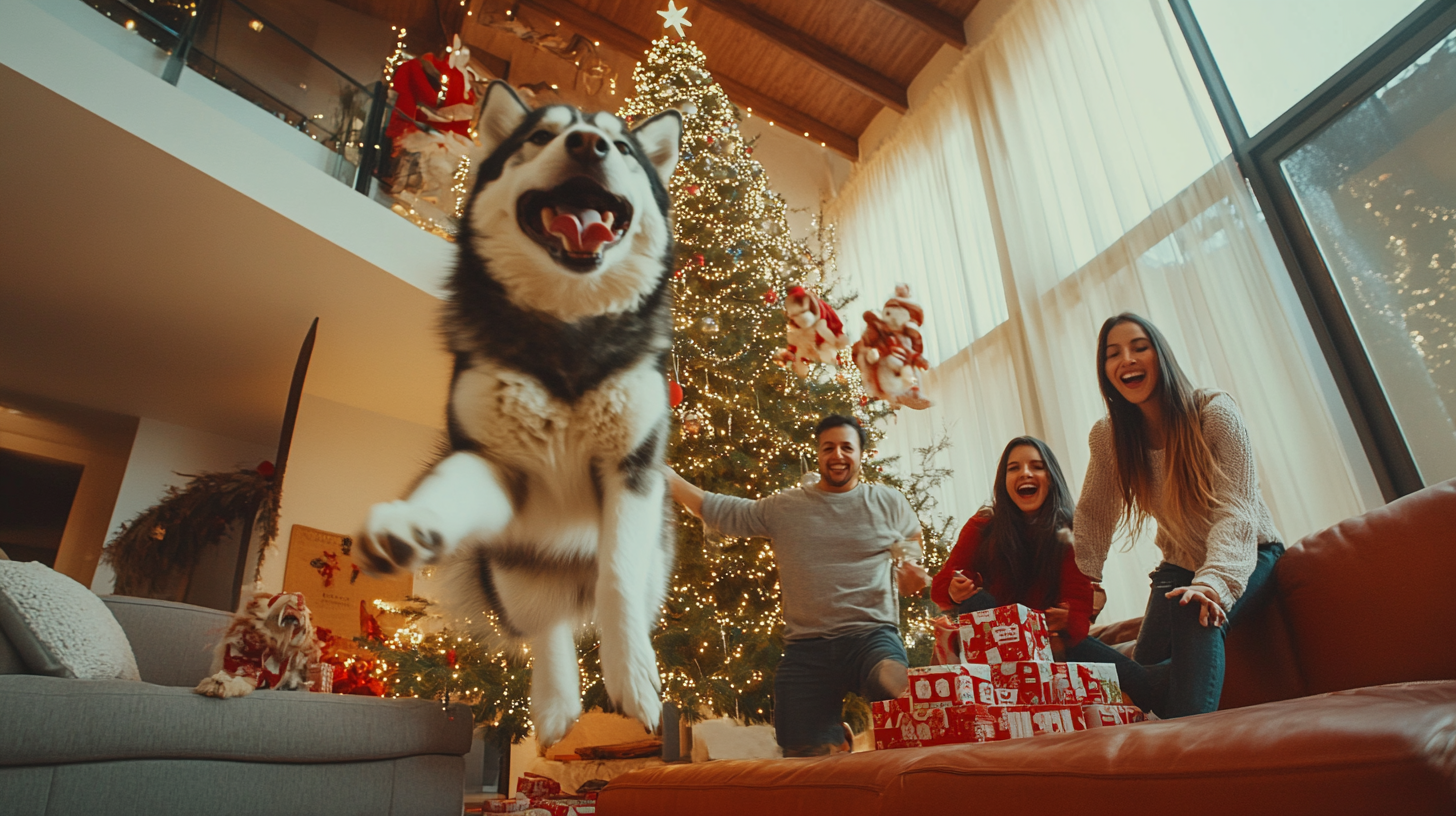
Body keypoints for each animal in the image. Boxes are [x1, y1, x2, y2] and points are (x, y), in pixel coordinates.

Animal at [361, 84, 684, 746]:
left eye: (622, 147)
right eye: (540, 136)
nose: (587, 145)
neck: (565, 334)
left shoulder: (633, 471)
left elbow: (617, 578)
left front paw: (634, 678)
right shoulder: (495, 462)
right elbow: (447, 487)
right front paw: (412, 522)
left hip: (659, 551)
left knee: (618, 593)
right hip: (509, 568)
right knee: (546, 624)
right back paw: (557, 705)